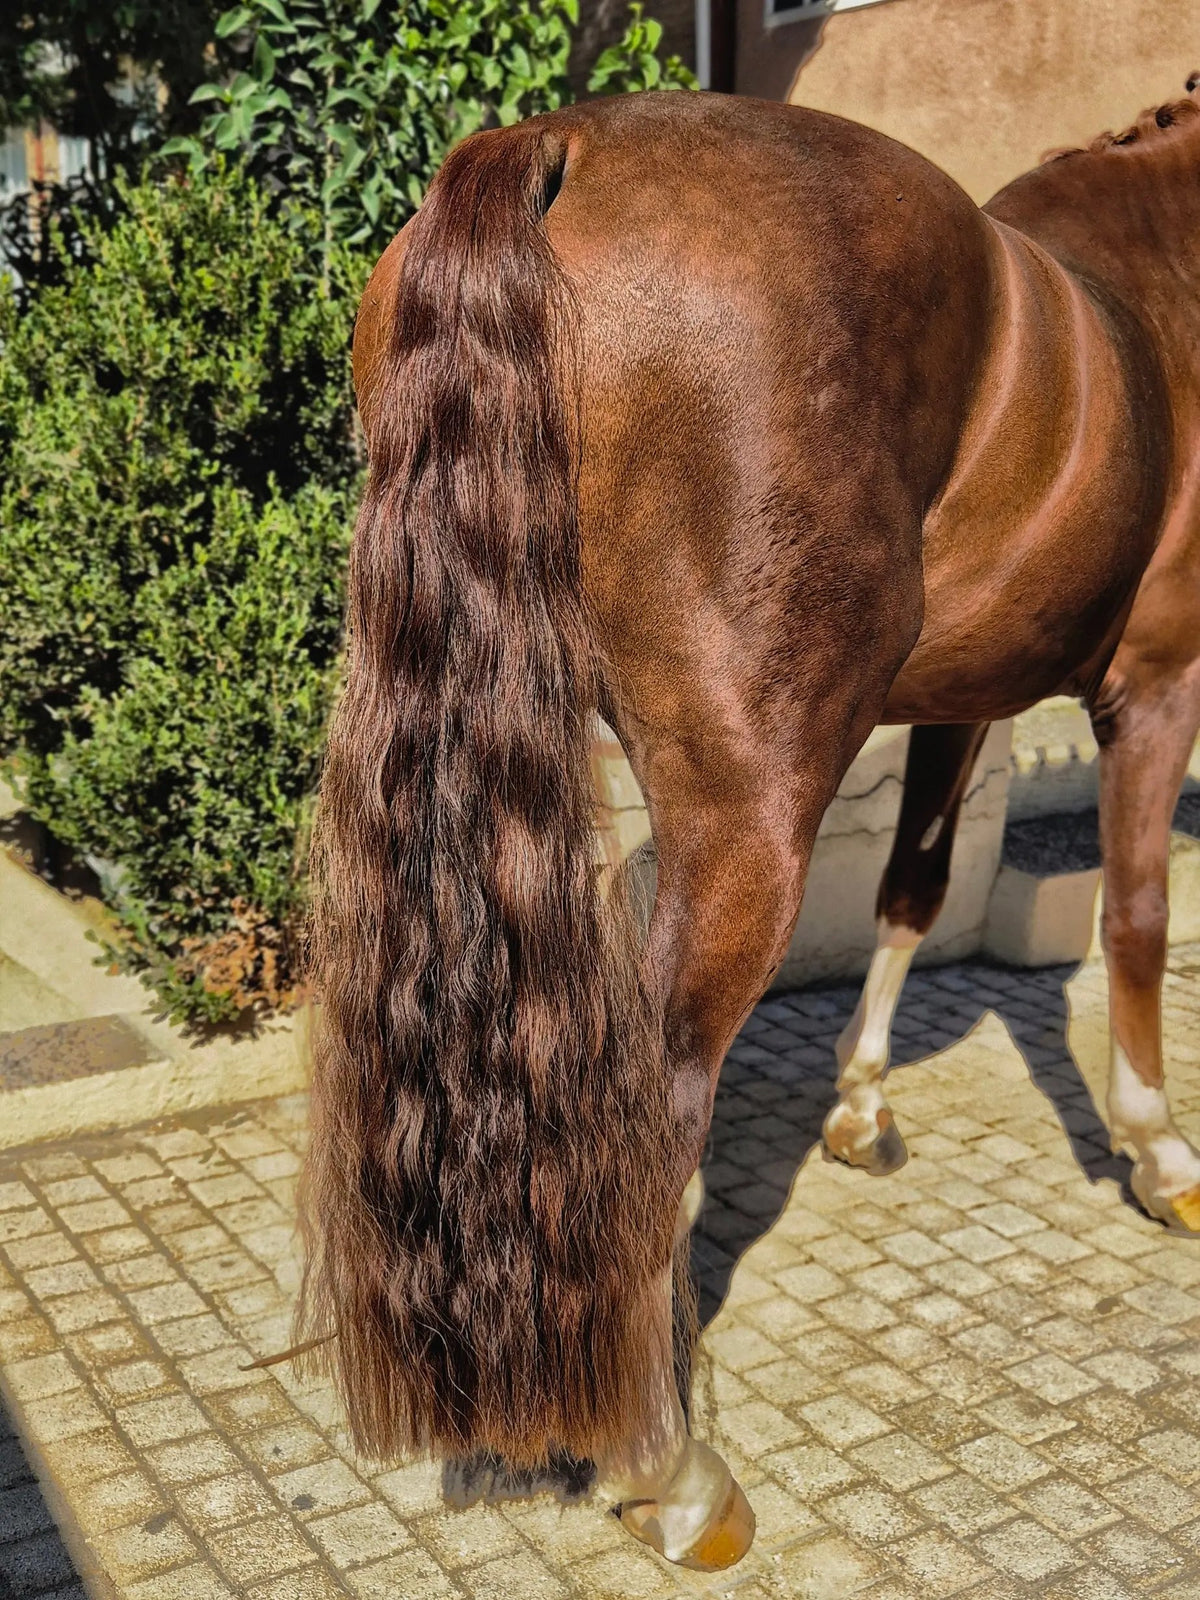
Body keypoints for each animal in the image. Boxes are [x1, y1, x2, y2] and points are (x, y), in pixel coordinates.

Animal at [298, 81, 1200, 1571]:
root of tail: (558, 145)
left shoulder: (961, 699)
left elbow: (916, 884)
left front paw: (863, 1101)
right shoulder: (1157, 681)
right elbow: (1134, 916)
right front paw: (1162, 1153)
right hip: (748, 821)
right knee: (647, 1113)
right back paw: (669, 1470)